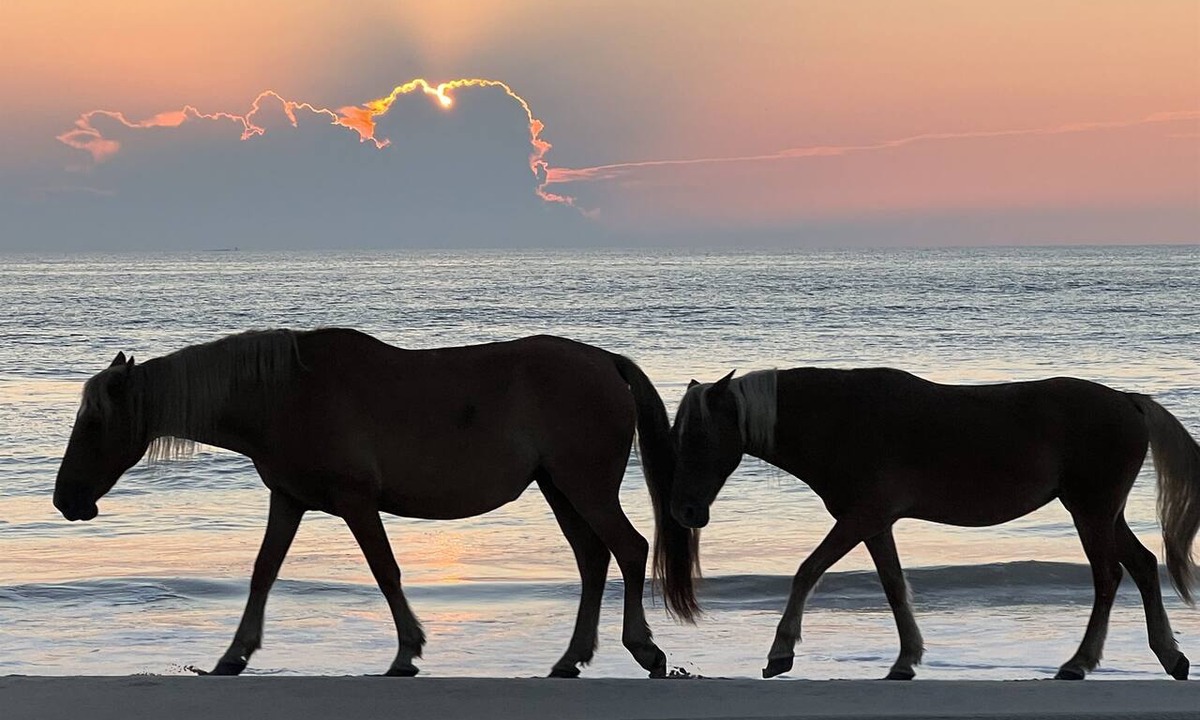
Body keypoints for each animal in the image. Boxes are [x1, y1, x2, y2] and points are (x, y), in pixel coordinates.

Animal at [53, 328, 700, 677]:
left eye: (94, 424)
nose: (66, 500)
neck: (284, 393)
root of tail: (604, 362)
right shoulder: (288, 500)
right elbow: (264, 572)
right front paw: (234, 655)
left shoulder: (356, 502)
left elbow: (385, 572)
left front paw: (406, 652)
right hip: (559, 488)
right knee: (593, 561)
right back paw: (570, 658)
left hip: (584, 486)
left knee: (628, 549)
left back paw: (644, 649)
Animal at [663, 367, 1199, 681]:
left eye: (698, 437)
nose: (684, 512)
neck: (842, 419)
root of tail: (1127, 400)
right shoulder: (875, 523)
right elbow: (893, 585)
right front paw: (905, 660)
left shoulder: (861, 517)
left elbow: (807, 570)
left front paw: (781, 653)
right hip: (1101, 513)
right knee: (1143, 566)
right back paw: (1170, 657)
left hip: (1090, 511)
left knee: (1108, 577)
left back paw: (1078, 663)